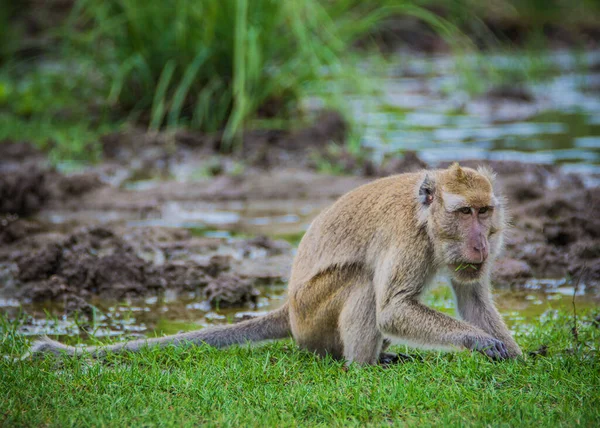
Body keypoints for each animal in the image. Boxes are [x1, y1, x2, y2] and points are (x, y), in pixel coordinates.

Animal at [29, 162, 520, 362]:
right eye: (464, 212)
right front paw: (477, 341)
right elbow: (393, 308)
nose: (481, 243)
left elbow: (472, 298)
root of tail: (289, 307)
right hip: (312, 314)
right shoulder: (409, 241)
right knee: (362, 282)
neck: (427, 220)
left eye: (485, 211)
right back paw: (366, 365)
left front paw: (517, 355)